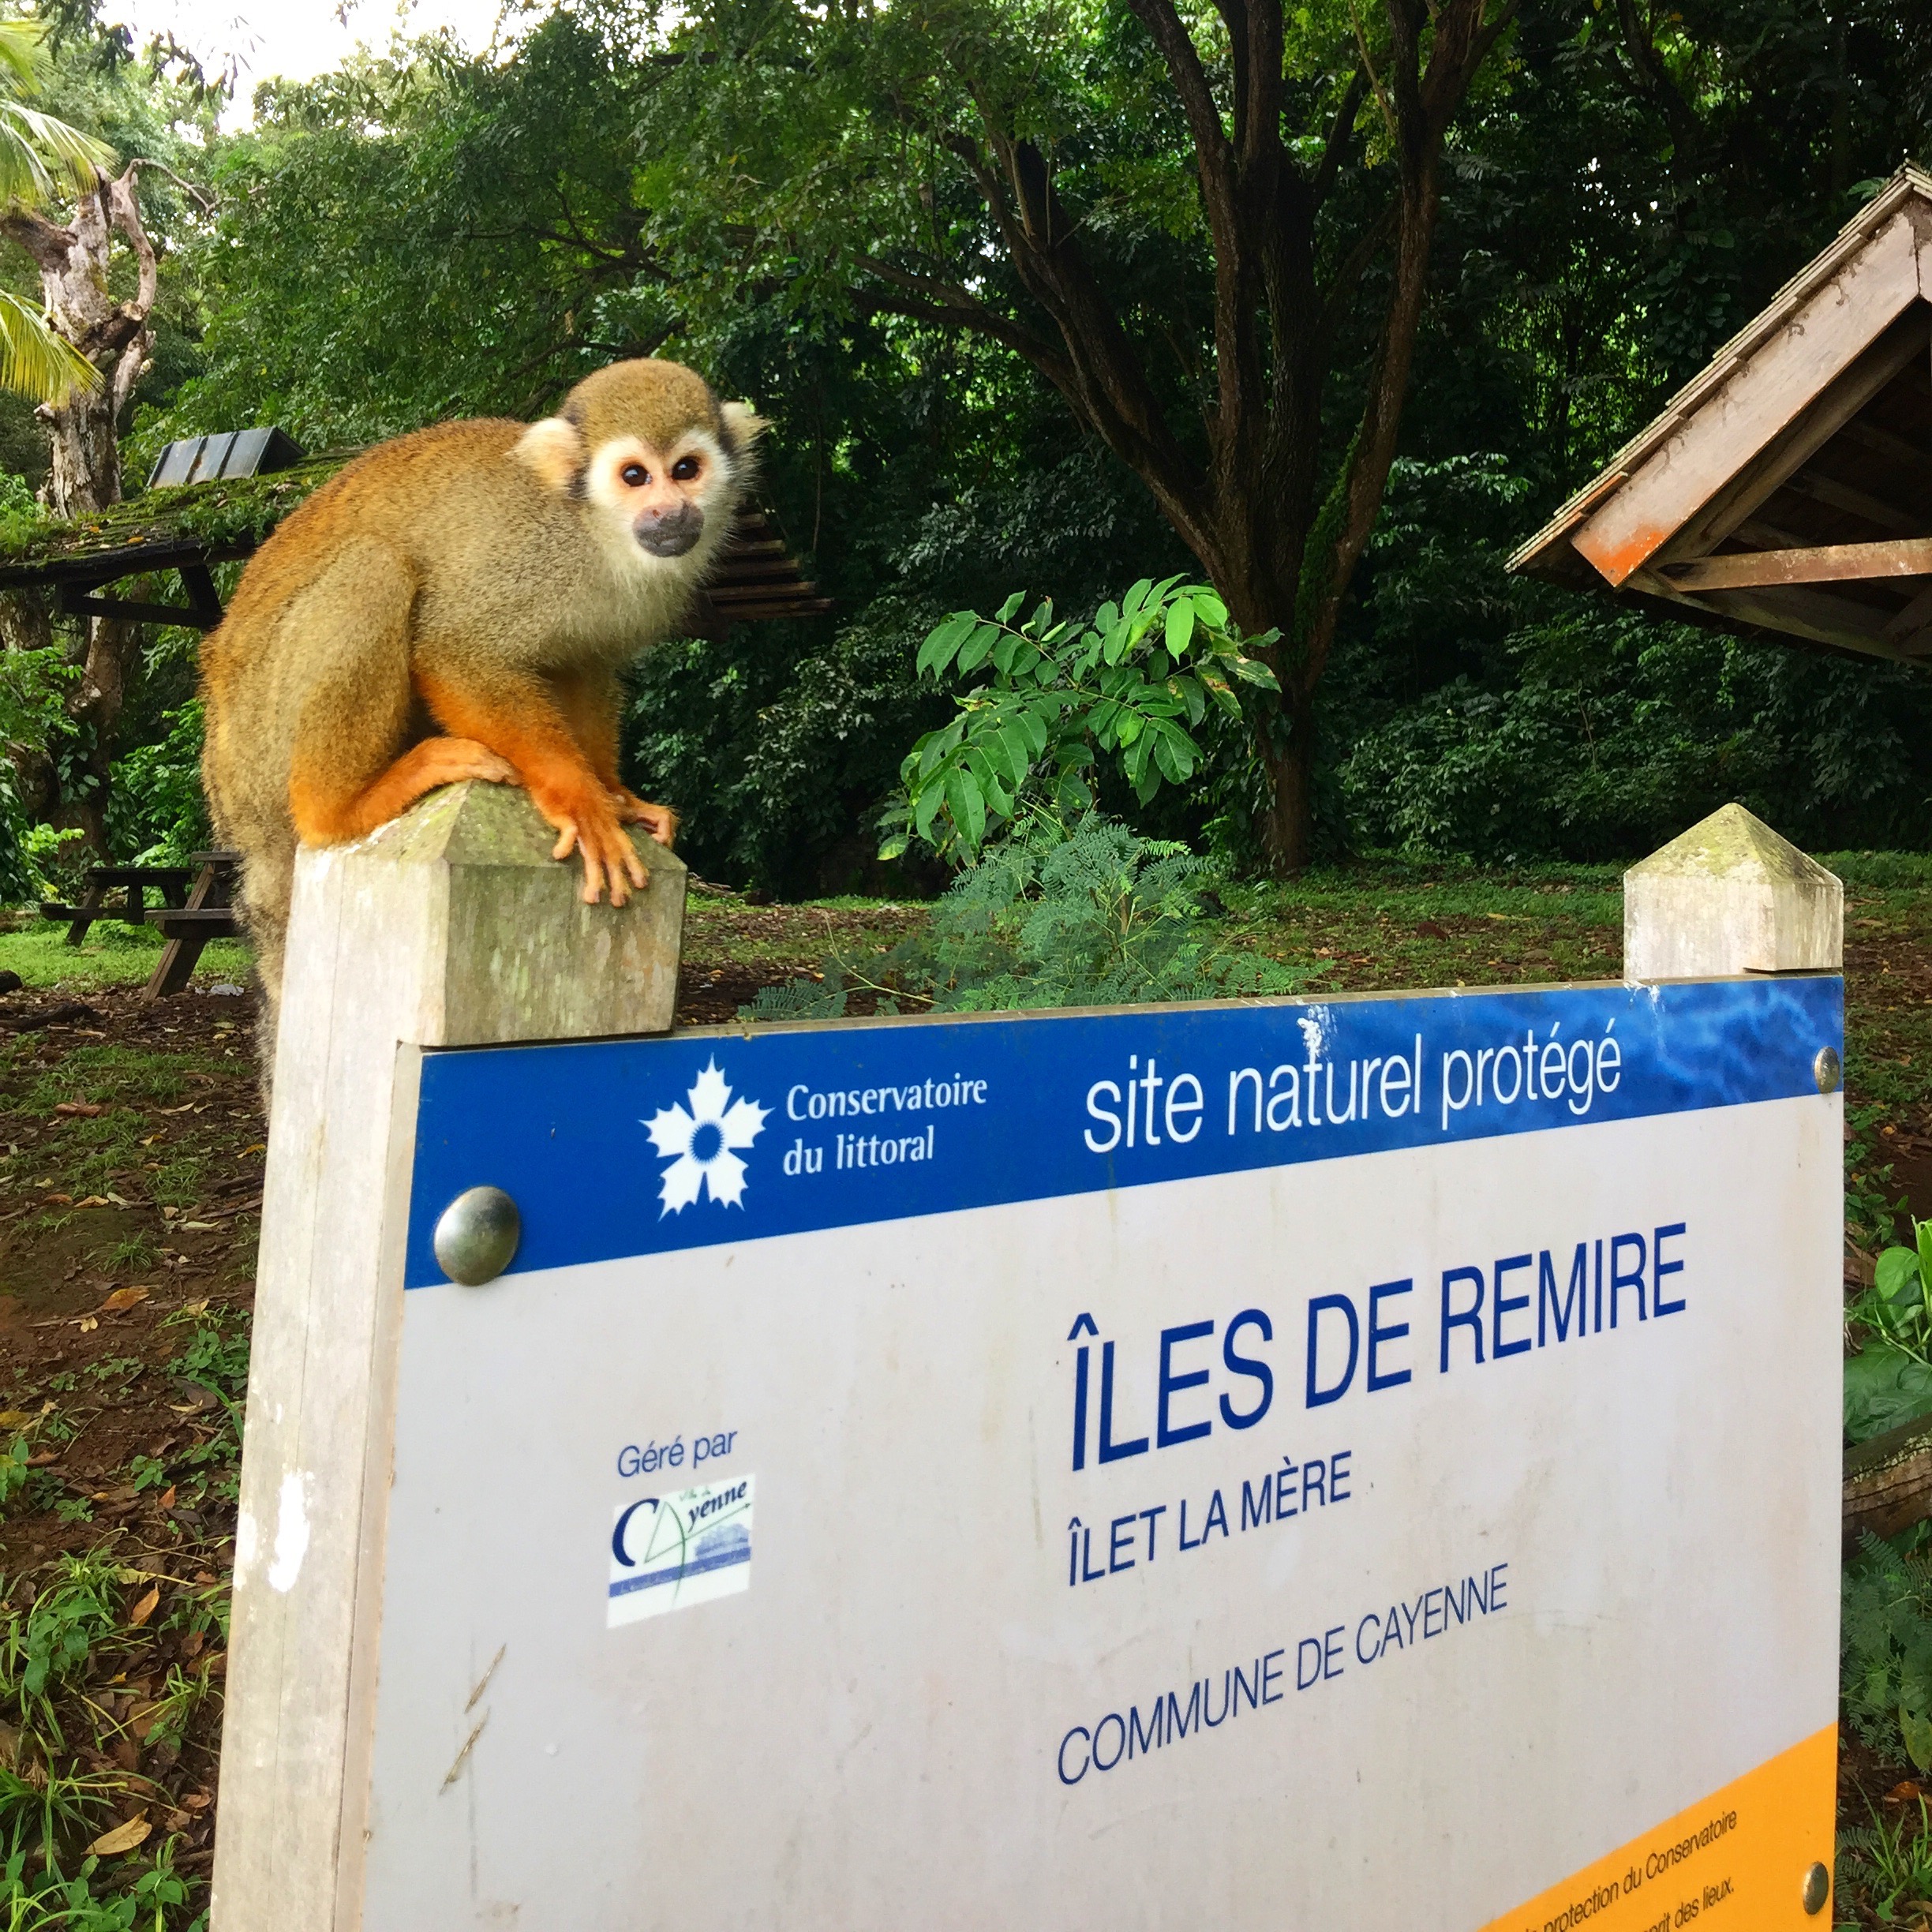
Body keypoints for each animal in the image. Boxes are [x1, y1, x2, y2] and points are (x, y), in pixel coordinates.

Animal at [200, 357, 761, 1035]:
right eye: (635, 476)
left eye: (685, 470)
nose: (670, 512)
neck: (591, 532)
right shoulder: (522, 559)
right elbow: (454, 649)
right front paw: (579, 799)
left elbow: (584, 664)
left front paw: (615, 793)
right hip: (262, 735)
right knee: (373, 568)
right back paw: (339, 808)